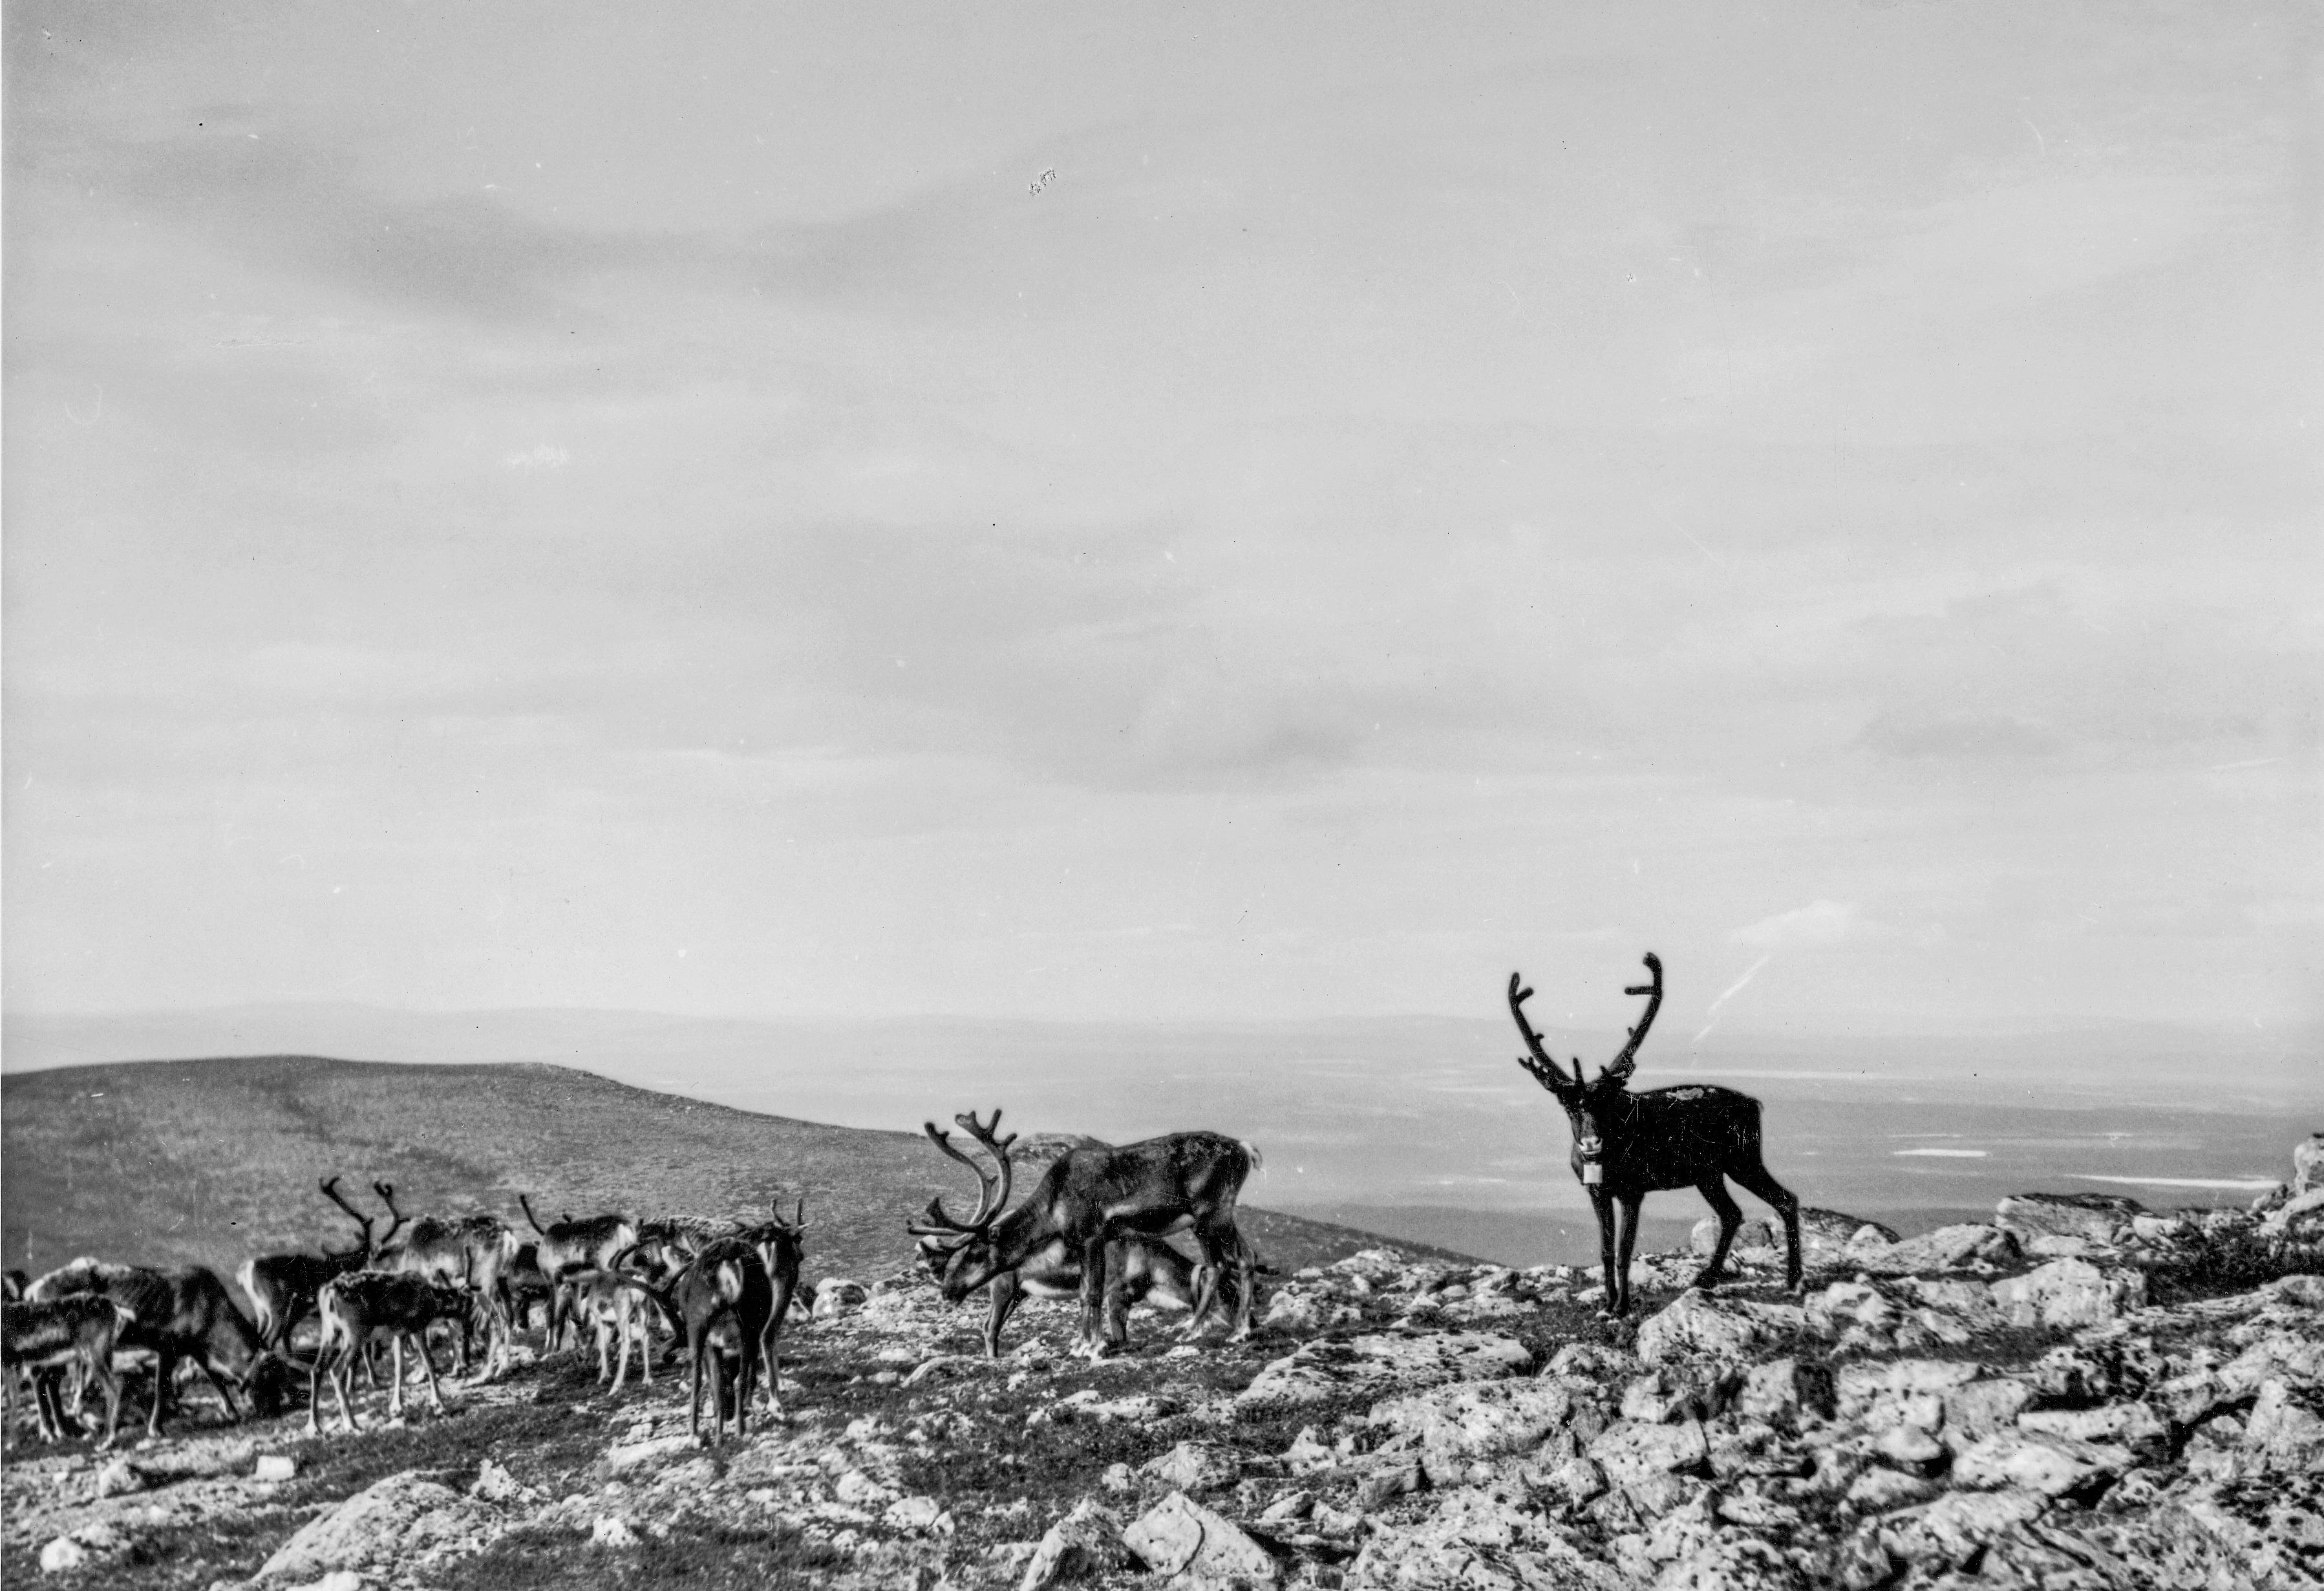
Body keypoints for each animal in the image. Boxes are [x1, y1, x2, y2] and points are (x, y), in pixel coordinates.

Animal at [3, 1295, 129, 1447]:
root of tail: (115, 1310)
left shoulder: (12, 1361)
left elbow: (12, 1401)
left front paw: (10, 1444)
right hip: (105, 1352)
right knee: (117, 1381)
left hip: (91, 1352)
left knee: (114, 1385)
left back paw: (105, 1440)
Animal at [307, 1271, 471, 1434]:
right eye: (463, 1308)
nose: (465, 1332)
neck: (432, 1304)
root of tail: (327, 1294)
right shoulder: (417, 1326)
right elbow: (429, 1362)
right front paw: (439, 1404)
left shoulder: (400, 1332)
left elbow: (399, 1368)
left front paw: (396, 1408)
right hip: (355, 1332)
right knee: (336, 1370)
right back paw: (351, 1424)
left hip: (330, 1331)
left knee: (317, 1369)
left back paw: (315, 1426)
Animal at [906, 1109, 1259, 1358]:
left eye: (976, 1252)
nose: (948, 1291)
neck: (1053, 1205)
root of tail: (1246, 1149)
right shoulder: (1089, 1243)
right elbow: (1086, 1292)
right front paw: (1083, 1345)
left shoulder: (1092, 1236)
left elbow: (1091, 1294)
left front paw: (1092, 1347)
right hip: (1212, 1220)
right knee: (1229, 1262)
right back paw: (1210, 1329)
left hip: (1213, 1215)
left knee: (1238, 1261)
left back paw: (1232, 1331)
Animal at [1508, 951, 1802, 1317]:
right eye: (1567, 1105)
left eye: (1608, 1101)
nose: (1591, 1143)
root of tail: (1754, 1104)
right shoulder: (1596, 1192)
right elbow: (1606, 1250)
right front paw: (1607, 1302)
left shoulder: (1634, 1191)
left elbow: (1625, 1250)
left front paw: (1622, 1307)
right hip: (1709, 1173)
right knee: (1732, 1212)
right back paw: (1707, 1279)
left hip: (1743, 1159)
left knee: (1785, 1199)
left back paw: (1793, 1281)